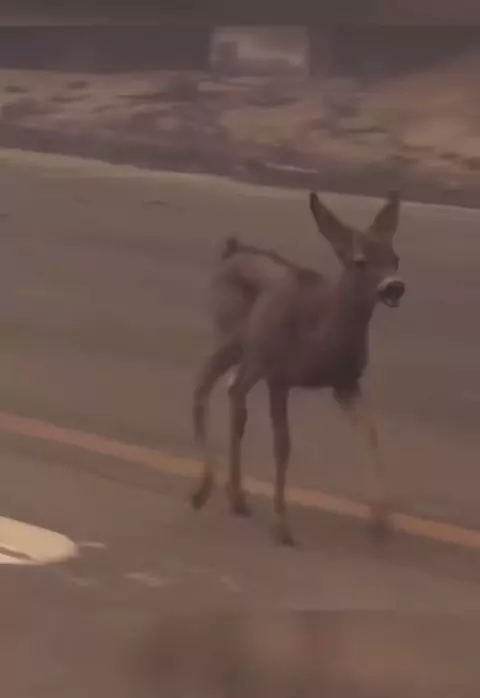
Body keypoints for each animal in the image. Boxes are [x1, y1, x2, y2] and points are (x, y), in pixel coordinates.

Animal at [190, 190, 405, 546]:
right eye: (359, 260)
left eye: (395, 258)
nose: (394, 287)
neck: (322, 337)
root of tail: (230, 251)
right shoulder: (281, 377)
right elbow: (283, 445)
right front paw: (282, 525)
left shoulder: (345, 381)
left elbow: (370, 430)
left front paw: (381, 515)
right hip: (231, 334)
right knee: (203, 383)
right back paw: (203, 489)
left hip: (253, 356)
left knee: (235, 392)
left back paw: (237, 496)